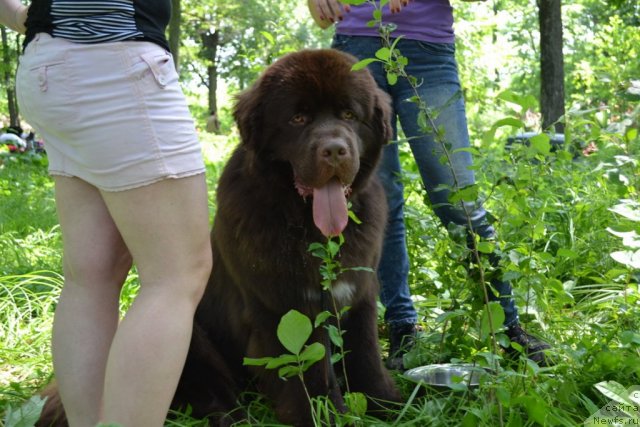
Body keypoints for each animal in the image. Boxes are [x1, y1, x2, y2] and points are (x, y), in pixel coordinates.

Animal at [37, 49, 400, 427]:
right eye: (298, 118)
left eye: (349, 115)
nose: (334, 150)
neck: (308, 229)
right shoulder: (282, 306)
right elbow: (307, 371)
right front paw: (320, 416)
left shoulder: (360, 295)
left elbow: (366, 358)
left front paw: (390, 405)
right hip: (191, 338)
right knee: (215, 400)